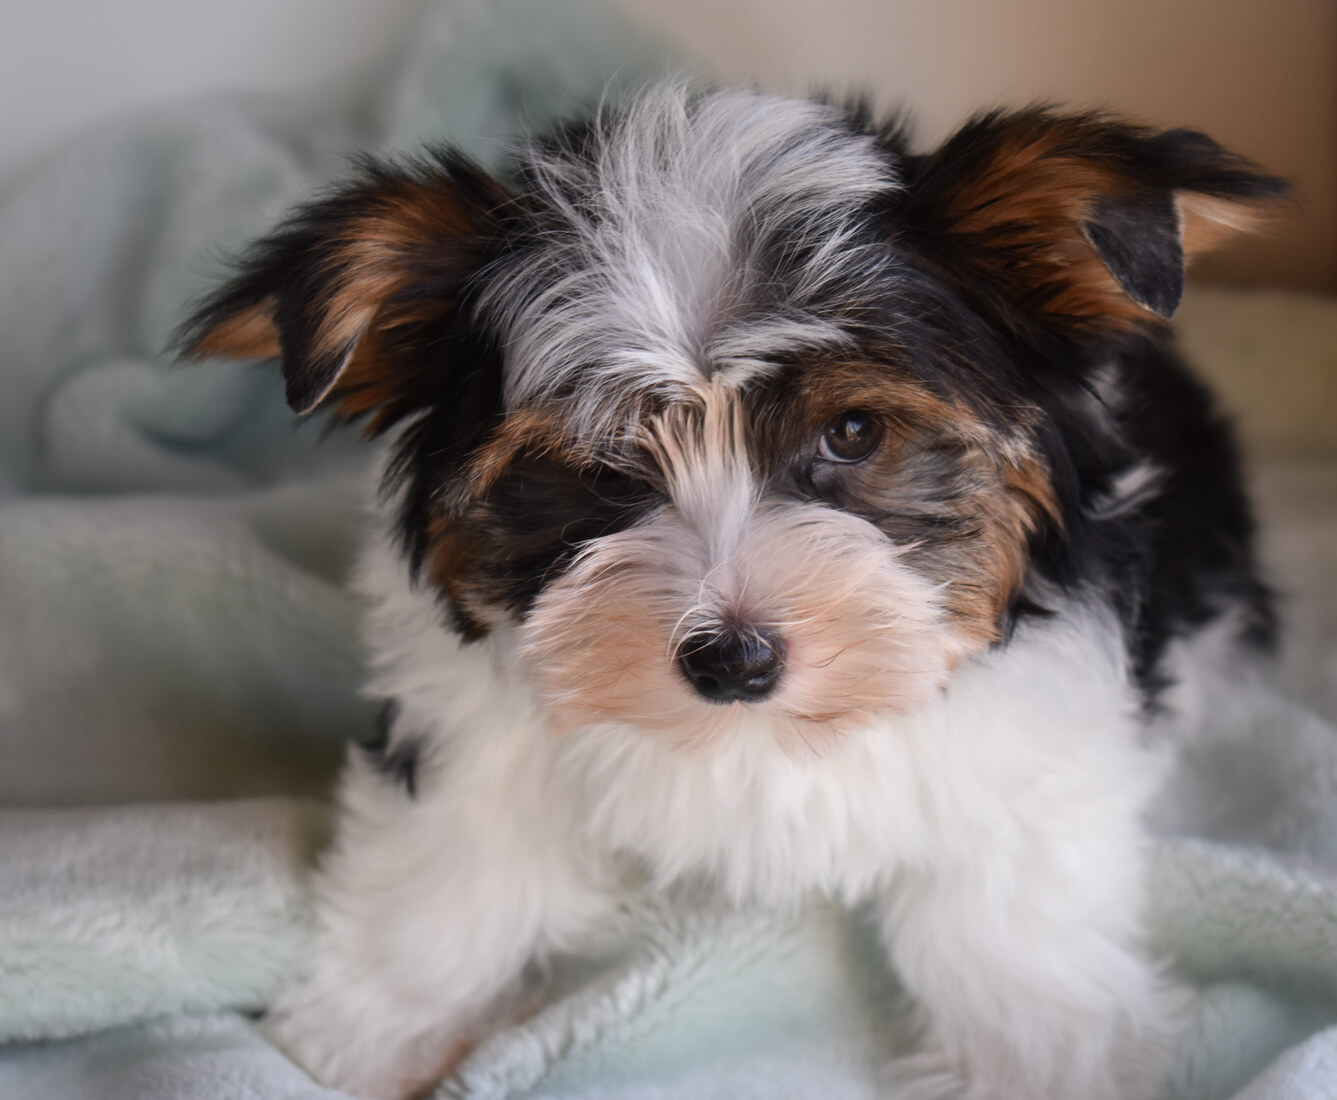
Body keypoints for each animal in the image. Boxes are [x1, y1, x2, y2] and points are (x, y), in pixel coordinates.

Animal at [180, 84, 1284, 1099]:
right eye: (601, 466)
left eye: (852, 433)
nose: (733, 660)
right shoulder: (468, 729)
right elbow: (453, 868)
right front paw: (363, 1034)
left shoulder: (1031, 747)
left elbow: (1011, 932)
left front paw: (1037, 1064)